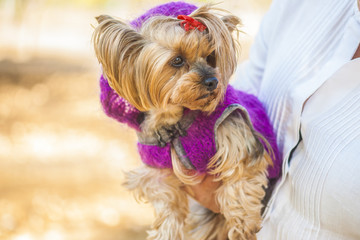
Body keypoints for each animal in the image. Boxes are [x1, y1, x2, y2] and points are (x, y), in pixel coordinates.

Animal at [91, 2, 280, 240]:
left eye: (210, 57)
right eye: (177, 60)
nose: (213, 81)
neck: (176, 120)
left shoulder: (234, 131)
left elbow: (240, 178)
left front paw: (243, 224)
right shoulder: (158, 171)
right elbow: (167, 202)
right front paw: (166, 233)